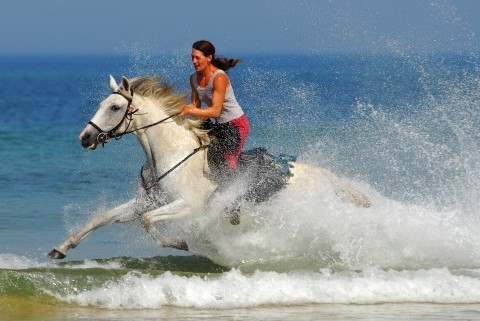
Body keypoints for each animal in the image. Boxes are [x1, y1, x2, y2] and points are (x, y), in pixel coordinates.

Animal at [47, 75, 372, 260]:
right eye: (103, 103)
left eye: (114, 107)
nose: (85, 137)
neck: (168, 155)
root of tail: (329, 178)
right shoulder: (146, 202)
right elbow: (101, 218)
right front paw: (61, 248)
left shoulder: (187, 206)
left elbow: (149, 222)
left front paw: (179, 243)